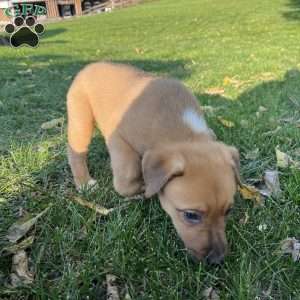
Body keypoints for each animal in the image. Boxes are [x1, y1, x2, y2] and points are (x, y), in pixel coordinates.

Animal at [66, 62, 239, 264]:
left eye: (228, 211)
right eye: (191, 215)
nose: (217, 260)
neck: (184, 131)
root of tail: (89, 66)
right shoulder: (119, 140)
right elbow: (126, 181)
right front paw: (143, 188)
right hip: (81, 118)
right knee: (76, 151)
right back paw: (85, 183)